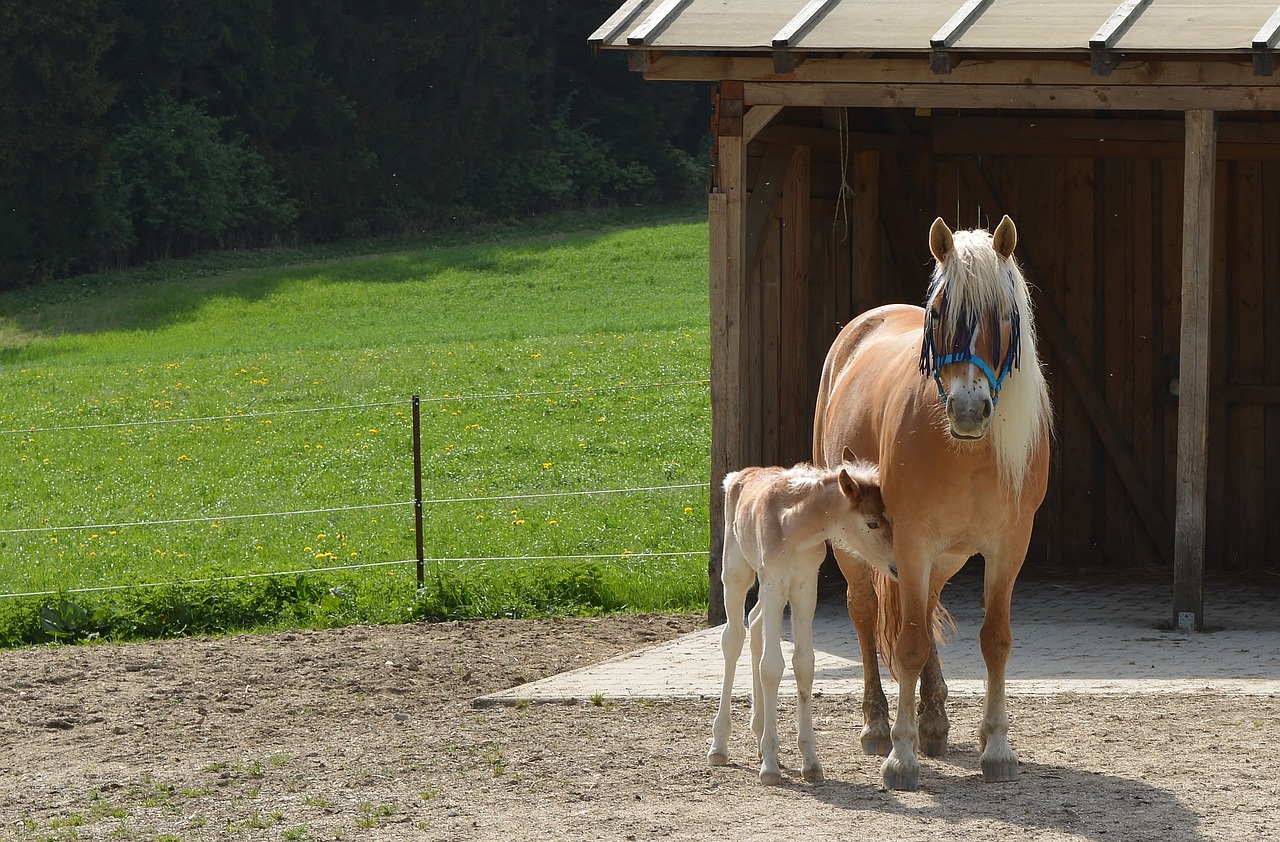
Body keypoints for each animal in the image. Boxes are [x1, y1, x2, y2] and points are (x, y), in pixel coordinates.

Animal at [711, 455, 890, 783]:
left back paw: (758, 732)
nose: (896, 565)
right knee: (734, 638)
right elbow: (771, 666)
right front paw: (770, 765)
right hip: (737, 574)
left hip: (772, 592)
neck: (794, 529)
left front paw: (810, 762)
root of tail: (739, 476)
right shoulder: (775, 582)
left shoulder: (805, 586)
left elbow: (803, 664)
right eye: (871, 522)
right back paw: (720, 746)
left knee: (755, 624)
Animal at [819, 214, 1049, 788]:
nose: (969, 409)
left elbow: (994, 639)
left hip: (945, 557)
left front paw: (997, 748)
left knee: (922, 609)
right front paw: (901, 758)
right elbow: (907, 643)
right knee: (867, 613)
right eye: (940, 311)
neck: (965, 450)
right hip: (859, 551)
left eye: (1004, 314)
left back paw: (934, 718)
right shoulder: (912, 540)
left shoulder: (1009, 546)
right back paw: (878, 724)